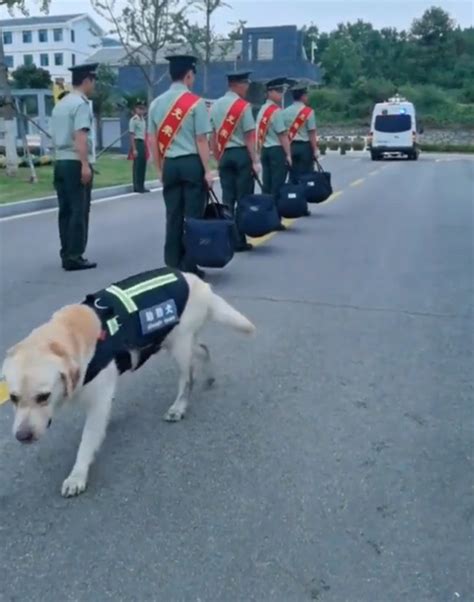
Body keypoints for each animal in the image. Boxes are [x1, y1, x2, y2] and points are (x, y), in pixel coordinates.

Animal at [2, 268, 256, 496]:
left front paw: (77, 475)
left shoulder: (98, 399)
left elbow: (86, 442)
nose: (22, 436)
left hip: (180, 344)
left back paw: (179, 407)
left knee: (187, 378)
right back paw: (209, 375)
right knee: (203, 349)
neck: (71, 337)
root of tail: (195, 279)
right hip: (172, 339)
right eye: (13, 398)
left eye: (43, 396)